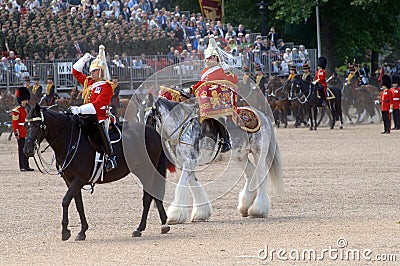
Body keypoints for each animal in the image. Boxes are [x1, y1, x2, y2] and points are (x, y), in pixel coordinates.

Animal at [23, 104, 170, 241]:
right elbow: (79, 205)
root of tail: (153, 131)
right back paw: (163, 223)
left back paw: (140, 228)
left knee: (148, 196)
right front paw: (82, 231)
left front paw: (65, 232)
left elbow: (65, 201)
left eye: (36, 125)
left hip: (147, 170)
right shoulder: (71, 182)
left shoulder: (78, 180)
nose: (27, 150)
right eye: (25, 125)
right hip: (142, 171)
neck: (70, 141)